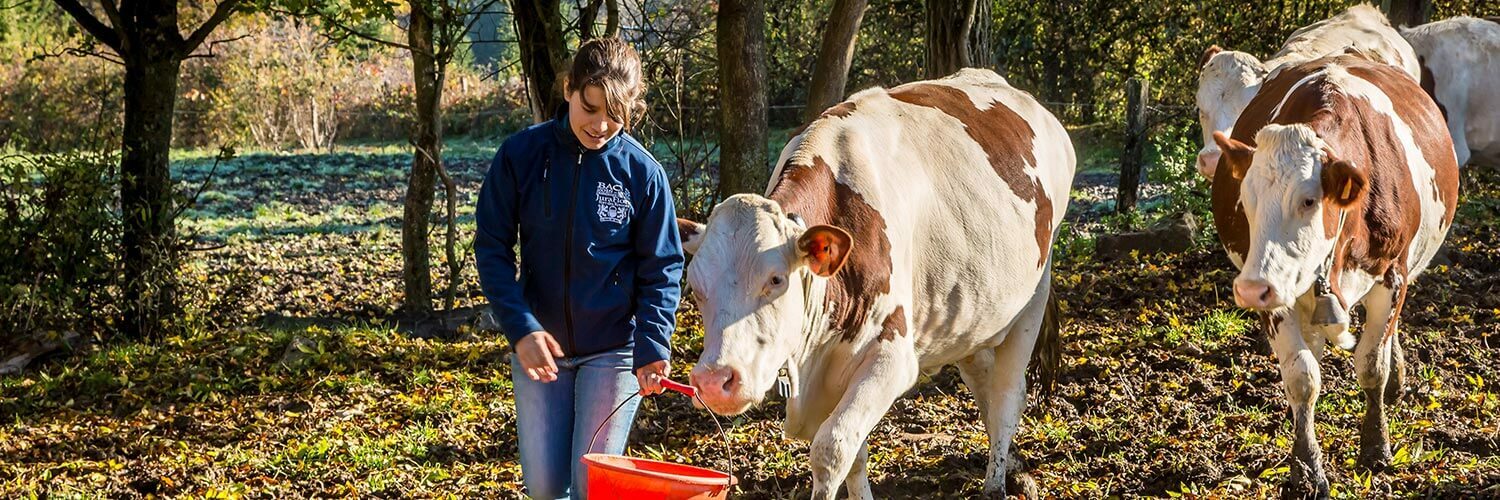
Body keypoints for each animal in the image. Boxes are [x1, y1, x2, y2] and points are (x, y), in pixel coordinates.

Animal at [675, 68, 1074, 495]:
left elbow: (833, 447)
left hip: (1033, 299)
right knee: (981, 378)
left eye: (776, 279)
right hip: (974, 310)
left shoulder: (892, 357)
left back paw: (995, 483)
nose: (714, 381)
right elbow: (855, 454)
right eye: (695, 288)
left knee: (1007, 396)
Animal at [1212, 54, 1458, 495]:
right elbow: (1302, 377)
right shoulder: (1279, 295)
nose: (1251, 288)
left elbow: (1371, 364)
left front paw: (1376, 446)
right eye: (1245, 198)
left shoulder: (1392, 279)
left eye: (1309, 200)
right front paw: (1306, 467)